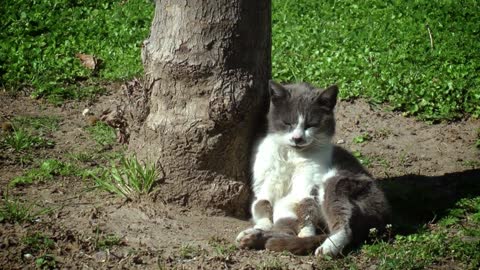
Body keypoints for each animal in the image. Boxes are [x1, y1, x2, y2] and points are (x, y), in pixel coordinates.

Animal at [236, 79, 390, 255]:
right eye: (288, 123)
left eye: (311, 125)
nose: (297, 138)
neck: (291, 155)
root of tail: (384, 215)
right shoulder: (265, 184)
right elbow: (262, 205)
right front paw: (260, 227)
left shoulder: (307, 185)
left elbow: (306, 207)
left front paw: (306, 232)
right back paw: (251, 237)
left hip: (337, 182)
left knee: (343, 224)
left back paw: (327, 248)